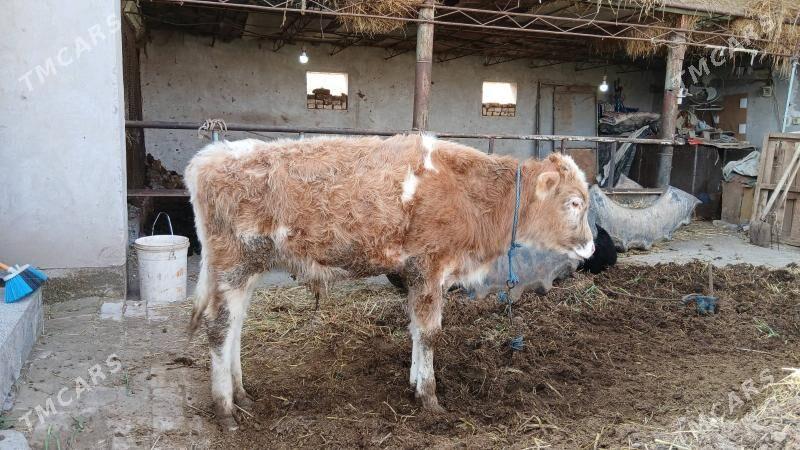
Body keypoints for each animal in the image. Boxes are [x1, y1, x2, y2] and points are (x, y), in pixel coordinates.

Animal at [185, 134, 595, 429]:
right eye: (575, 203)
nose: (591, 246)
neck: (469, 193)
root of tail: (211, 156)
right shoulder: (430, 267)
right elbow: (429, 334)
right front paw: (430, 399)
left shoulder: (415, 274)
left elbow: (414, 330)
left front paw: (414, 385)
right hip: (232, 264)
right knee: (219, 328)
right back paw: (225, 409)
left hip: (245, 271)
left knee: (236, 326)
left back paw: (242, 394)